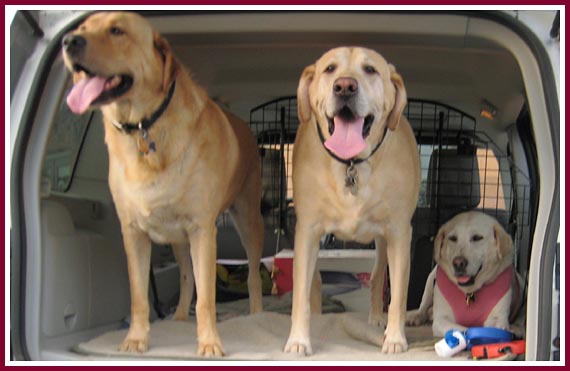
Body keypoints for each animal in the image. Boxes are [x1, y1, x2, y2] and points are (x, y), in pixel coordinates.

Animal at [62, 10, 264, 358]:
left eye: (117, 31)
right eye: (82, 28)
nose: (68, 41)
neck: (145, 125)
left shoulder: (202, 230)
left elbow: (207, 300)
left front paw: (209, 343)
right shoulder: (133, 233)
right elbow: (139, 296)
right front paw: (136, 339)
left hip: (248, 221)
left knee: (252, 275)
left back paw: (255, 314)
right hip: (179, 239)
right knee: (186, 277)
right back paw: (180, 317)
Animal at [284, 48, 422, 356]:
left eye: (370, 69)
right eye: (330, 69)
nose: (345, 86)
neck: (351, 164)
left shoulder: (399, 232)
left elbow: (398, 296)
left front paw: (395, 337)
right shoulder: (307, 231)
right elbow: (301, 295)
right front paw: (298, 339)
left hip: (383, 242)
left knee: (377, 276)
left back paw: (376, 318)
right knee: (315, 282)